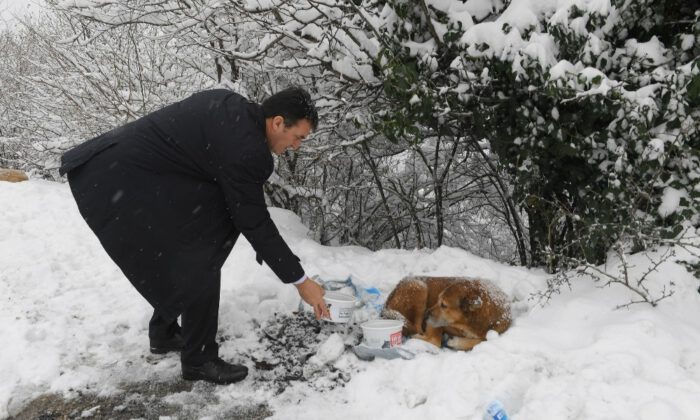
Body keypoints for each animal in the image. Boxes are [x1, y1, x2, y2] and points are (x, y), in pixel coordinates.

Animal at [380, 278, 512, 350]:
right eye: (437, 300)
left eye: (444, 305)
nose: (426, 315)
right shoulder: (436, 324)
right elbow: (434, 340)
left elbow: (483, 340)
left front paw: (457, 342)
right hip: (419, 286)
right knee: (416, 328)